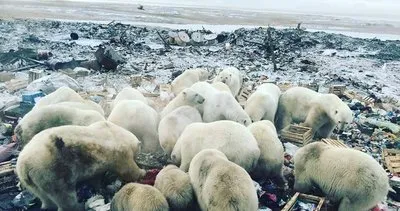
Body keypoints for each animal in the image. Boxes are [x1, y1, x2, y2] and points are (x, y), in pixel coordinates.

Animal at [16, 120, 147, 211]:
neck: (116, 133)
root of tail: (24, 165)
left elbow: (95, 177)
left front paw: (99, 187)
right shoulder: (120, 152)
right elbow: (128, 170)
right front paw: (142, 172)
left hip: (33, 180)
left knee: (43, 196)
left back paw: (47, 205)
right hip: (53, 170)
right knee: (64, 195)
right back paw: (78, 205)